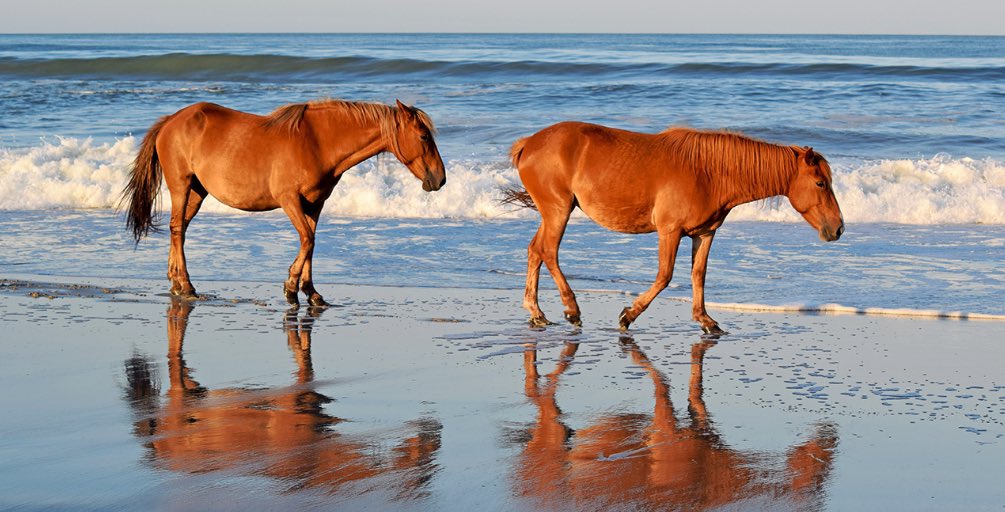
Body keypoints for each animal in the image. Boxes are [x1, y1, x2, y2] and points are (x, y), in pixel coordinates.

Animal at [122, 99, 445, 306]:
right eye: (423, 136)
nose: (439, 179)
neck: (317, 142)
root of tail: (170, 121)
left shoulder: (315, 204)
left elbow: (311, 241)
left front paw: (311, 292)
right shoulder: (289, 200)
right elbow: (307, 239)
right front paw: (291, 288)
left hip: (198, 192)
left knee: (180, 229)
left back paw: (175, 282)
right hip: (181, 186)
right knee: (177, 229)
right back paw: (187, 286)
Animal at [504, 122, 844, 333]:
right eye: (820, 183)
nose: (838, 228)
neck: (709, 172)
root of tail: (529, 144)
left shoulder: (704, 233)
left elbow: (698, 275)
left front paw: (706, 320)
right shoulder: (670, 231)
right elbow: (665, 276)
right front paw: (628, 316)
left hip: (552, 214)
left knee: (535, 251)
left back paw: (536, 313)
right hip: (558, 212)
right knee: (548, 251)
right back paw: (571, 309)